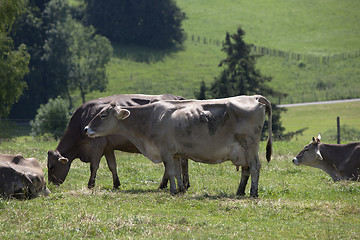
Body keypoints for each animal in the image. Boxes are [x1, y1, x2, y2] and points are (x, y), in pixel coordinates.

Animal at [47, 94, 188, 189]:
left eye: (52, 166)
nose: (51, 185)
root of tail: (176, 97)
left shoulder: (96, 146)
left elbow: (94, 166)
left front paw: (90, 185)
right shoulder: (108, 147)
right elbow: (112, 166)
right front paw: (116, 184)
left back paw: (165, 185)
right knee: (182, 161)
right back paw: (184, 184)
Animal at [84, 94, 272, 198]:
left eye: (103, 115)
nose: (86, 128)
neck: (150, 118)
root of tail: (253, 97)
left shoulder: (165, 150)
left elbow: (171, 171)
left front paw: (173, 191)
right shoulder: (175, 153)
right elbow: (177, 171)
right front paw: (181, 189)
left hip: (250, 144)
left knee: (255, 166)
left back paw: (253, 192)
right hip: (243, 150)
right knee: (246, 169)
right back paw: (240, 191)